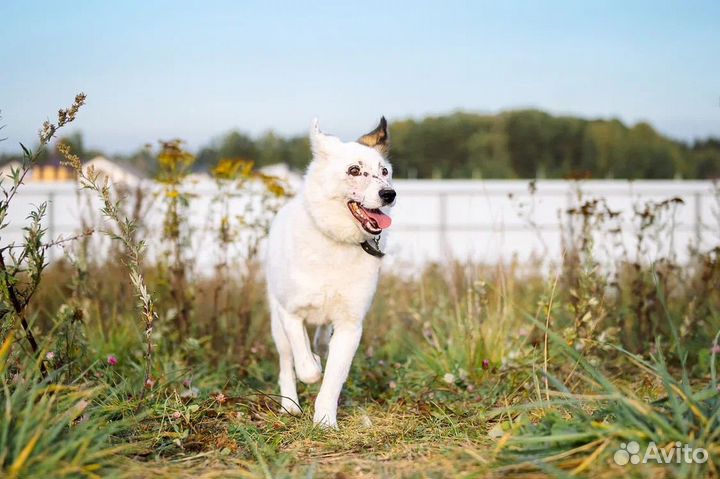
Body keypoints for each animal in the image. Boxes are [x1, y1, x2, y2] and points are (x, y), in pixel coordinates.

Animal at [268, 118, 396, 430]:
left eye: (384, 172)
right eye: (354, 170)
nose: (389, 194)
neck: (336, 241)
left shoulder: (350, 325)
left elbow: (333, 378)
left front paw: (325, 420)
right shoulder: (290, 312)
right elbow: (306, 367)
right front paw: (312, 366)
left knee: (321, 340)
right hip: (276, 324)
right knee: (287, 363)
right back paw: (290, 404)